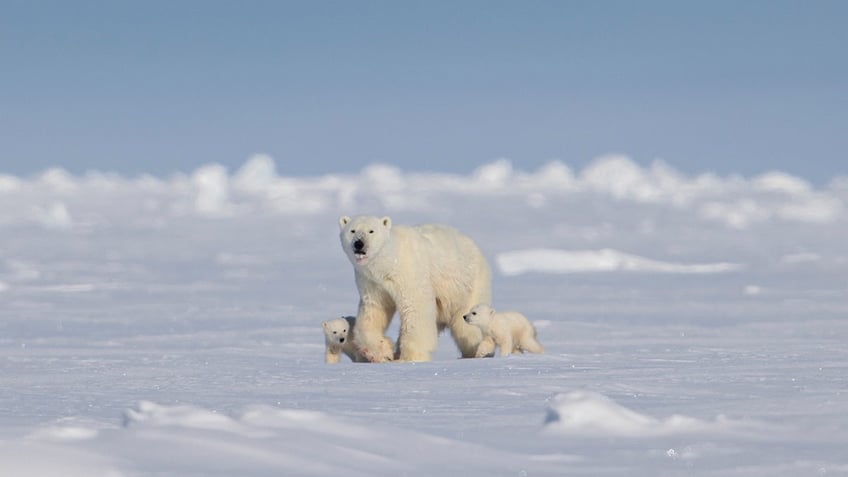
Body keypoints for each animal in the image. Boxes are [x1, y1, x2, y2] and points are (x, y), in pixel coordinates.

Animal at [338, 216, 490, 360]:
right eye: (352, 230)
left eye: (371, 231)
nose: (359, 244)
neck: (390, 262)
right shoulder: (372, 283)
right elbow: (373, 311)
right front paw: (381, 352)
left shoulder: (409, 272)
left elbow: (416, 307)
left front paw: (409, 358)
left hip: (470, 285)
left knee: (466, 325)